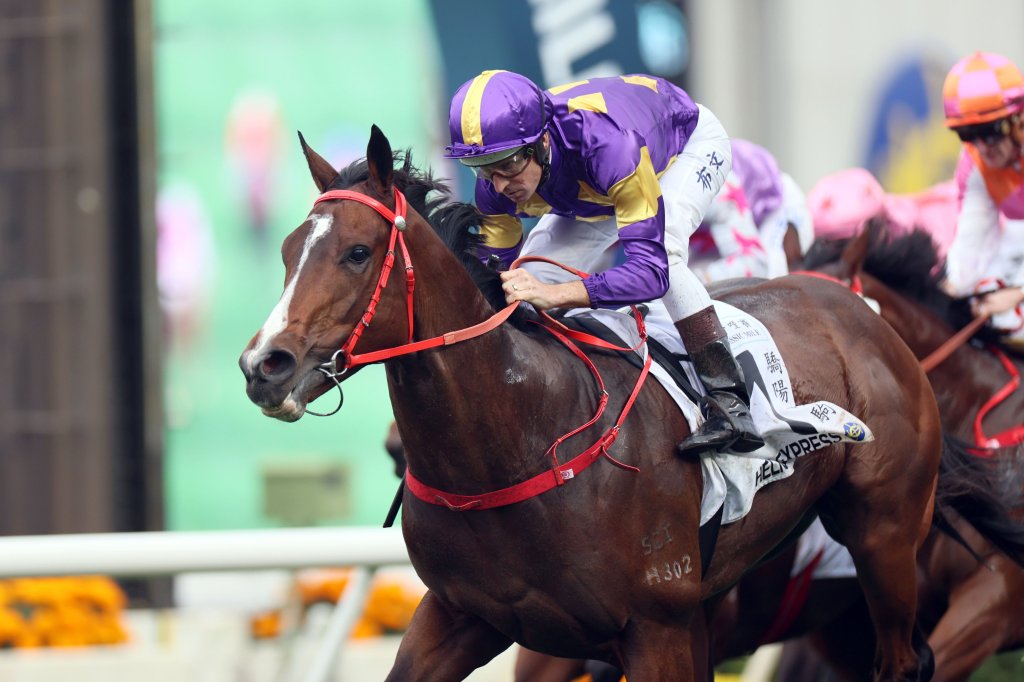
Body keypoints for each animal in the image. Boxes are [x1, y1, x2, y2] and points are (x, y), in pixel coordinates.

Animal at [240, 125, 950, 681]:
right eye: (286, 253)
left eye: (358, 253)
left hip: (884, 534)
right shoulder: (460, 614)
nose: (263, 366)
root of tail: (857, 308)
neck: (517, 443)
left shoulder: (657, 625)